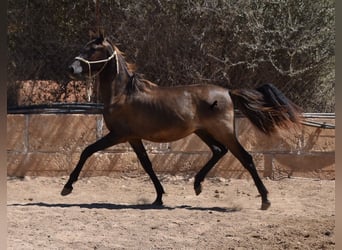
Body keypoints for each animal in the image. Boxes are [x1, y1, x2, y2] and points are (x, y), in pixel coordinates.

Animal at [62, 34, 302, 210]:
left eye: (91, 49)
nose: (71, 69)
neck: (122, 94)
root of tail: (228, 92)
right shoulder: (134, 138)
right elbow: (147, 165)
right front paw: (159, 197)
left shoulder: (118, 135)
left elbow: (87, 151)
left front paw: (67, 187)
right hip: (203, 131)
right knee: (219, 151)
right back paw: (197, 185)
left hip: (224, 132)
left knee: (245, 157)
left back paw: (265, 200)